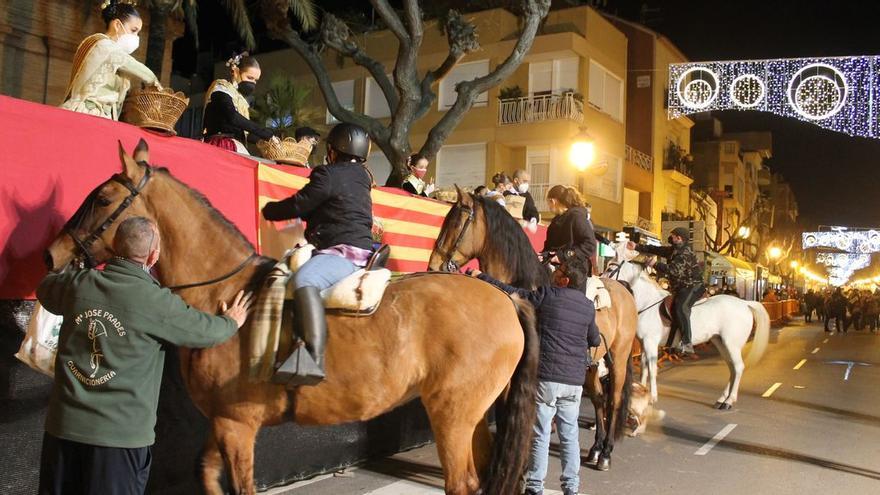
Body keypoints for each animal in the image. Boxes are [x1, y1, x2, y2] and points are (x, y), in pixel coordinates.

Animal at [44, 140, 544, 495]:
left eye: (103, 198)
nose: (54, 254)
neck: (228, 291)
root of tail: (504, 298)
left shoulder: (238, 425)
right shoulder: (223, 423)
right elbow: (205, 474)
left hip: (453, 416)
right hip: (473, 418)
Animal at [428, 190, 640, 472]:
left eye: (455, 223)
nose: (433, 265)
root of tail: (624, 289)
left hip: (618, 357)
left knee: (613, 400)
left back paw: (605, 453)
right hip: (591, 366)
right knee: (597, 399)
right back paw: (595, 449)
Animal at [604, 244, 768, 410]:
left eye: (611, 267)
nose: (602, 280)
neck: (648, 303)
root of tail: (745, 303)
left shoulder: (651, 343)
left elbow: (652, 369)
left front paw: (652, 397)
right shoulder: (644, 344)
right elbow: (644, 368)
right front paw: (642, 393)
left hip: (731, 344)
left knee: (738, 367)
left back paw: (729, 401)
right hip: (721, 342)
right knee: (732, 367)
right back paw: (722, 399)